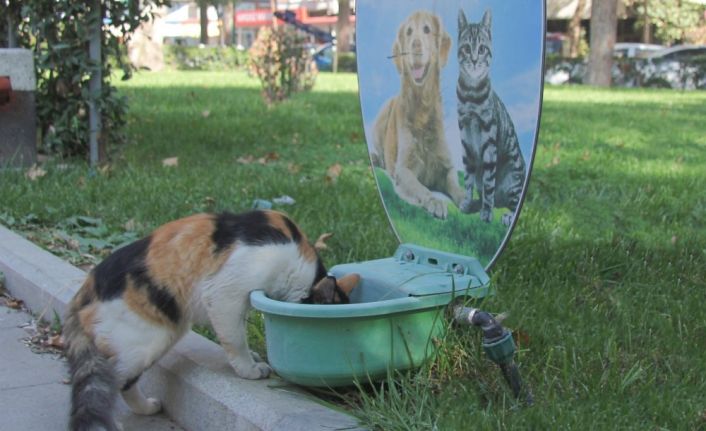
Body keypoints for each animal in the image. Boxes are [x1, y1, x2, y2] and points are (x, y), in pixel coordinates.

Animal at [63, 209, 359, 431]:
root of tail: (81, 297)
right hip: (149, 341)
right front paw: (249, 369)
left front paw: (252, 357)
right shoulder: (223, 295)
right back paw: (135, 412)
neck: (300, 265)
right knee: (113, 383)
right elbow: (235, 340)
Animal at [456, 9, 526, 226]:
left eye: (482, 49)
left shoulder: (489, 139)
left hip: (512, 178)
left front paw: (486, 214)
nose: (474, 60)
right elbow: (468, 179)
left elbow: (489, 184)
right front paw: (467, 202)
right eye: (467, 48)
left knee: (511, 201)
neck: (471, 94)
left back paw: (506, 215)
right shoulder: (465, 137)